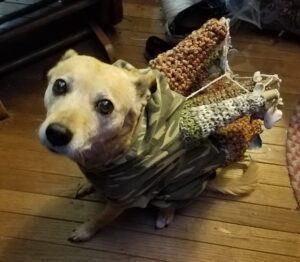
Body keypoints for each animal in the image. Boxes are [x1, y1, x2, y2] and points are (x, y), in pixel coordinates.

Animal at [38, 50, 258, 243]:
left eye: (105, 106)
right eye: (59, 85)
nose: (57, 133)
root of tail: (210, 177)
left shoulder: (123, 200)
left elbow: (101, 219)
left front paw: (85, 231)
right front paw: (88, 184)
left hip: (172, 192)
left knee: (171, 206)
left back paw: (164, 216)